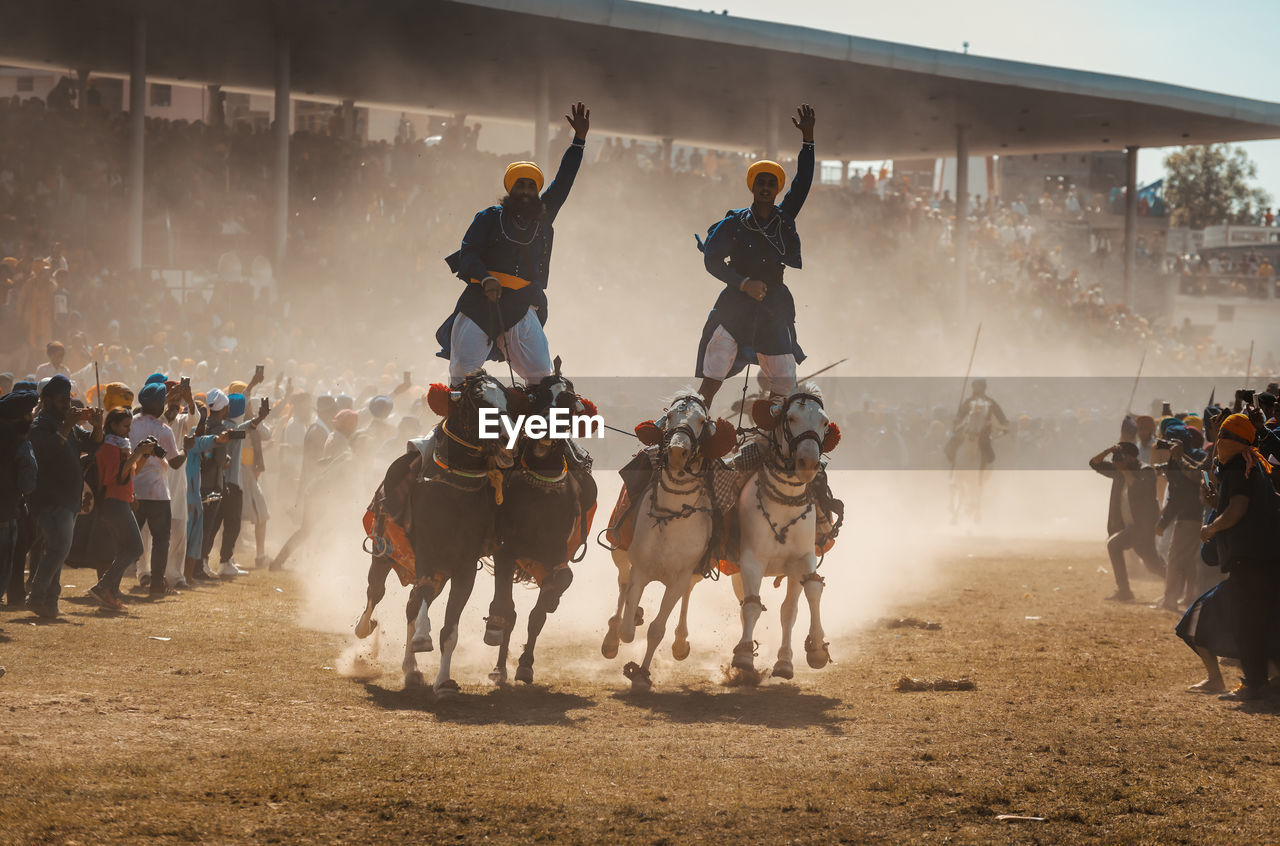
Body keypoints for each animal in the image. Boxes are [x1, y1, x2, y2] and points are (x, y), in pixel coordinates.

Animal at [604, 391, 737, 691]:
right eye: (671, 415)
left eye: (701, 421)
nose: (677, 451)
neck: (671, 515)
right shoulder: (641, 569)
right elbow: (628, 628)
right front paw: (628, 623)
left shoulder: (680, 576)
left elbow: (657, 629)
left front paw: (641, 674)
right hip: (619, 551)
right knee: (622, 583)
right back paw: (614, 633)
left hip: (694, 572)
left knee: (687, 593)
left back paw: (680, 642)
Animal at [732, 386, 839, 675]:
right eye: (790, 418)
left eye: (824, 422)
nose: (808, 463)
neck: (784, 503)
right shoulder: (751, 560)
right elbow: (752, 606)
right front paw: (744, 655)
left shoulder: (802, 559)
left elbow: (800, 601)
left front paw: (811, 650)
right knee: (743, 602)